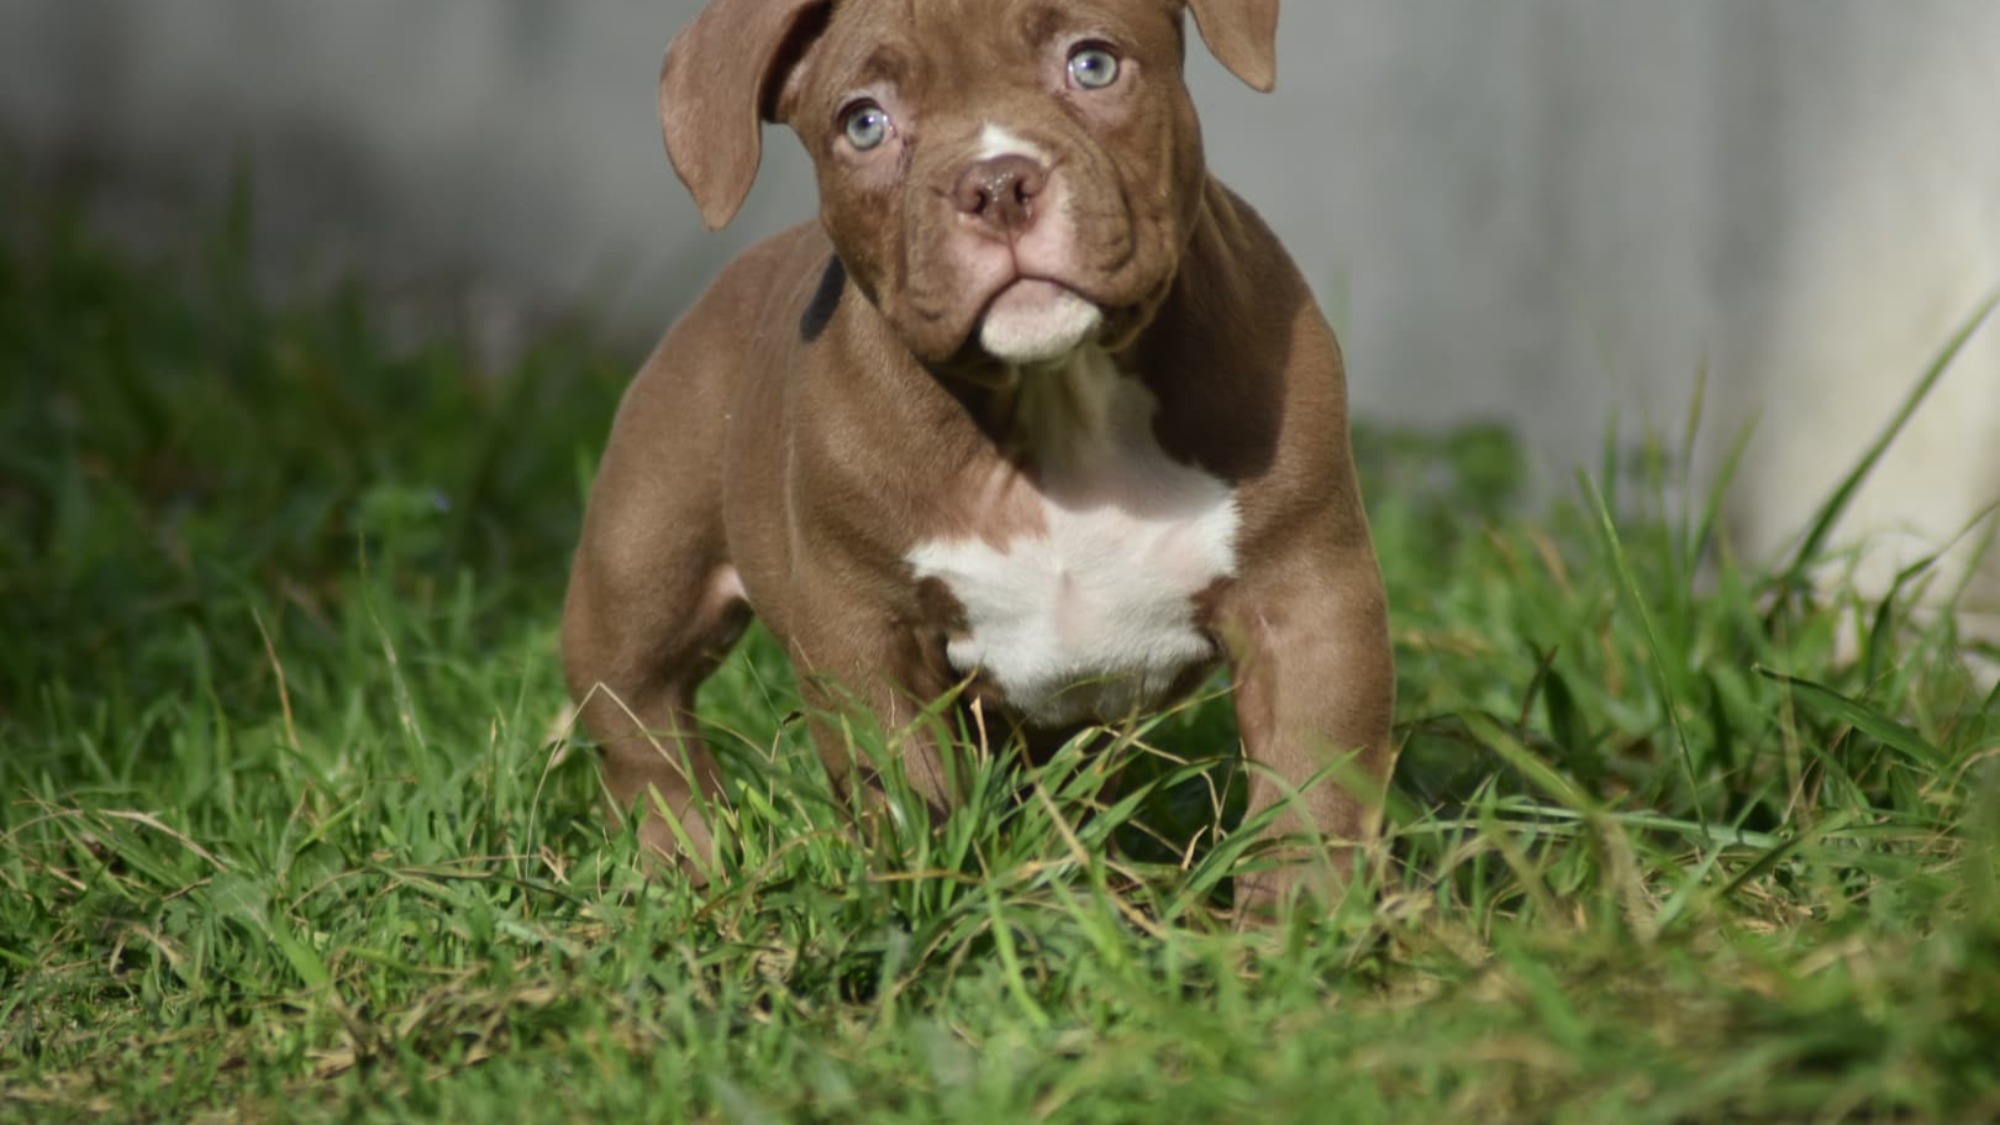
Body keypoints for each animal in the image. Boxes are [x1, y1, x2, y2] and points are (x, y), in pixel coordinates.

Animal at [564, 0, 1392, 904]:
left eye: (1093, 65)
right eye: (864, 123)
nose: (995, 186)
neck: (1055, 395)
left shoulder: (1306, 591)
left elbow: (1312, 780)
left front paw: (1298, 918)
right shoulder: (864, 630)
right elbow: (904, 780)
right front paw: (927, 891)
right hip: (641, 559)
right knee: (640, 715)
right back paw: (685, 861)